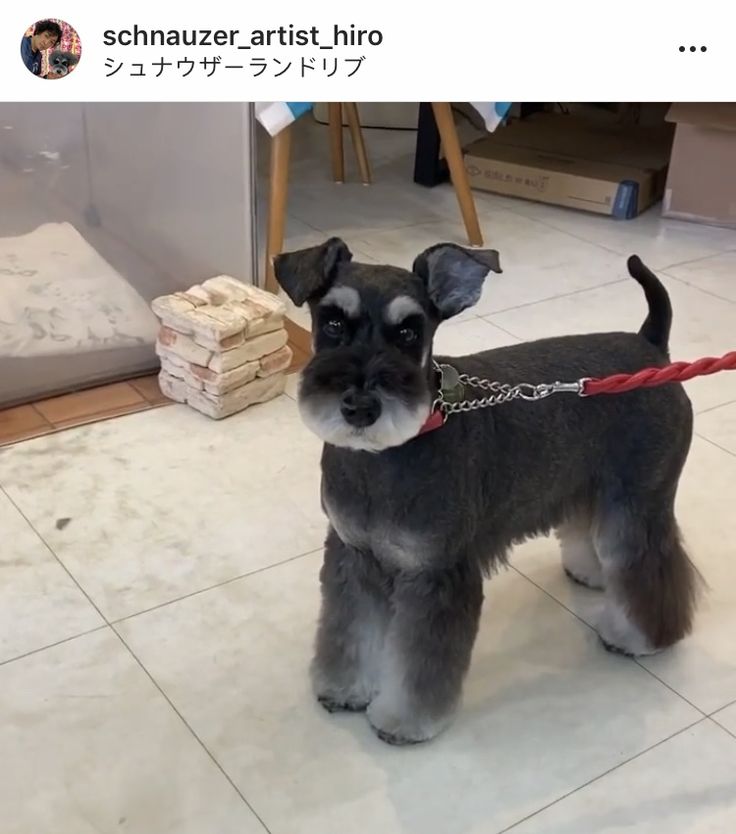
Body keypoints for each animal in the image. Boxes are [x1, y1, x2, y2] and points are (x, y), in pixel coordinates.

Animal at [274, 237, 700, 744]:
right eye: (334, 322)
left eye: (409, 332)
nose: (360, 407)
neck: (385, 454)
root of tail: (651, 348)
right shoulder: (353, 555)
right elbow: (350, 630)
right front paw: (344, 687)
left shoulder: (438, 574)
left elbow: (419, 664)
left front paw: (404, 720)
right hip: (587, 484)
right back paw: (590, 572)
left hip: (639, 502)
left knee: (648, 565)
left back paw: (639, 637)